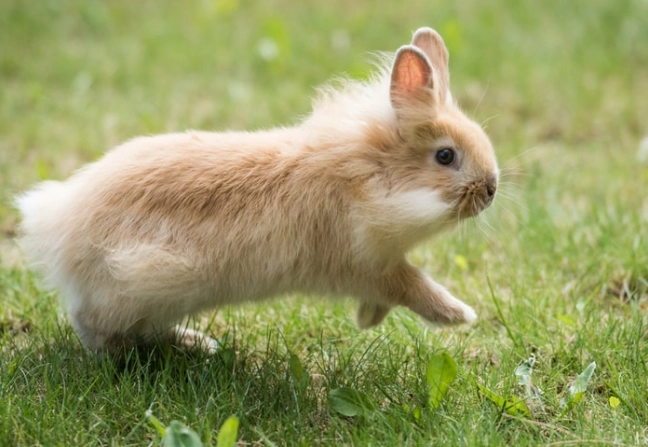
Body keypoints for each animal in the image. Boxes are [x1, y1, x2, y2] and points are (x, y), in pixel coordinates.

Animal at [15, 27, 498, 353]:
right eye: (445, 156)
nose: (491, 188)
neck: (363, 177)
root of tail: (58, 225)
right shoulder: (368, 264)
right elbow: (414, 286)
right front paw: (460, 315)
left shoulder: (376, 267)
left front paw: (367, 321)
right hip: (147, 284)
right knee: (91, 324)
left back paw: (198, 343)